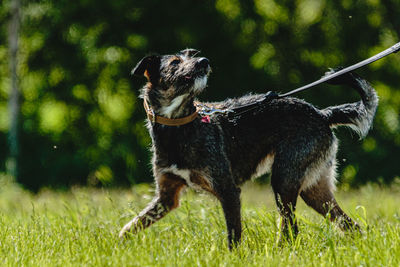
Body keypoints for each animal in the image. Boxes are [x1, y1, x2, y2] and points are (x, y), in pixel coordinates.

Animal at [119, 49, 378, 250]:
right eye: (174, 62)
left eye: (193, 55)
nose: (204, 61)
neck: (179, 125)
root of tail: (322, 114)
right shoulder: (166, 197)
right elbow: (132, 225)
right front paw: (118, 245)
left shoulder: (229, 191)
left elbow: (233, 235)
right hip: (315, 190)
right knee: (350, 226)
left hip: (284, 181)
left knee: (292, 229)